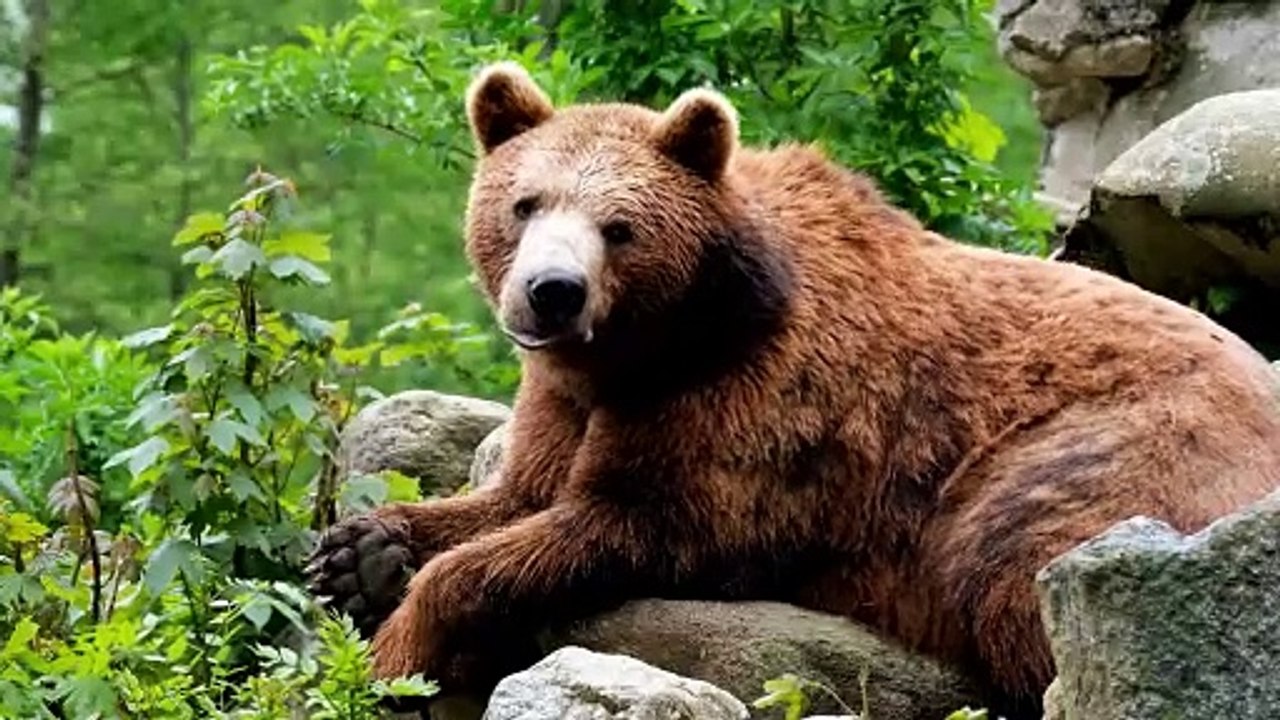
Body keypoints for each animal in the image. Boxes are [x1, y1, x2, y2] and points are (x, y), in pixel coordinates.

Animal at [306, 61, 1280, 717]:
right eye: (524, 203)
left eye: (619, 227)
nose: (553, 291)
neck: (652, 347)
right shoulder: (567, 400)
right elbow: (515, 493)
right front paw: (361, 551)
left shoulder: (750, 405)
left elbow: (622, 521)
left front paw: (401, 641)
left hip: (1103, 455)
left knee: (1022, 571)